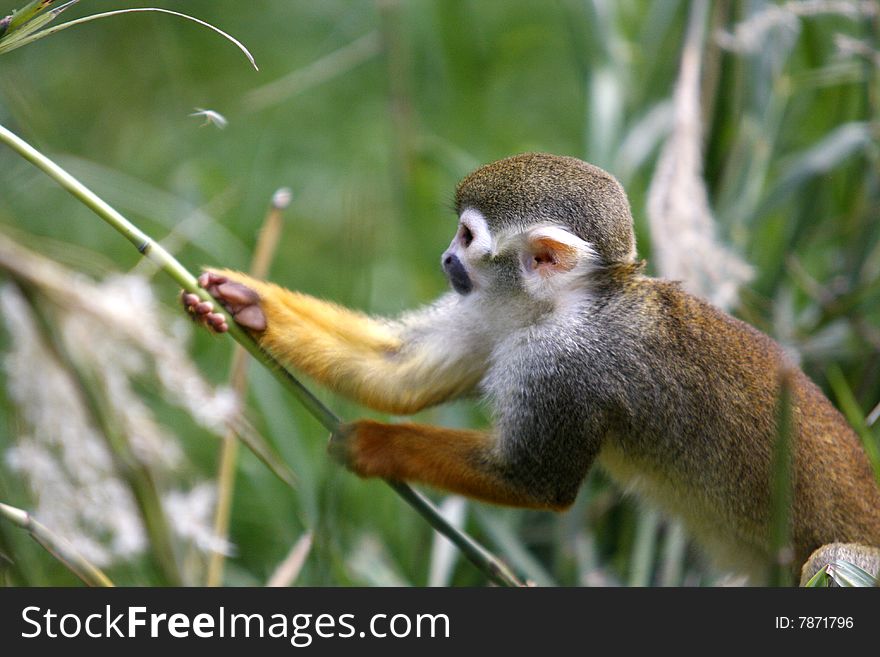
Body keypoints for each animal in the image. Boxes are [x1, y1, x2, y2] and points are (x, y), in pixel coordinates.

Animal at [186, 152, 880, 580]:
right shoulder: (498, 311)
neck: (567, 307)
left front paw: (371, 443)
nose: (446, 258)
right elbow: (401, 373)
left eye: (467, 237)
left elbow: (536, 482)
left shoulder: (563, 366)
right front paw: (245, 305)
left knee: (827, 564)